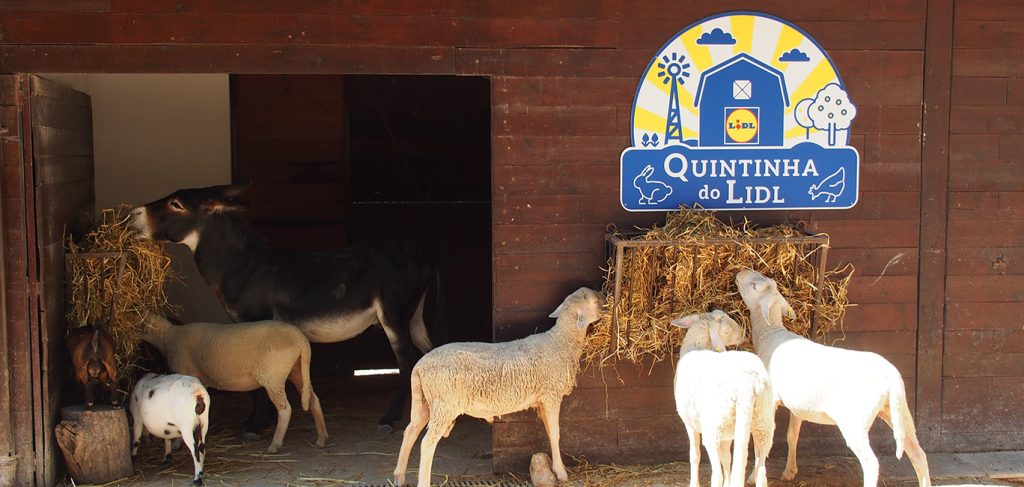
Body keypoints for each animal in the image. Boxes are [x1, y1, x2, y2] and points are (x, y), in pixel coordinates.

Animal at [140, 313, 328, 453]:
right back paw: (321, 438)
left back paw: (275, 445)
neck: (169, 337)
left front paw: (178, 443)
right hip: (296, 370)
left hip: (273, 376)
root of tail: (302, 341)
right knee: (313, 399)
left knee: (285, 409)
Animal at [393, 287, 605, 487]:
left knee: (410, 431)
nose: (605, 297)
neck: (560, 342)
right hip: (445, 404)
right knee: (427, 443)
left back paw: (399, 477)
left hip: (425, 402)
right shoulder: (552, 395)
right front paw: (561, 473)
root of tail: (420, 366)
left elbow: (548, 431)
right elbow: (556, 433)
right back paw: (422, 481)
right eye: (595, 301)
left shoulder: (542, 401)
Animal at [671, 310, 775, 487]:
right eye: (726, 329)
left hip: (714, 426)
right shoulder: (727, 434)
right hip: (763, 422)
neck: (697, 345)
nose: (743, 334)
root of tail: (746, 385)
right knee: (761, 474)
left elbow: (695, 455)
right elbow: (727, 458)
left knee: (716, 475)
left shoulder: (689, 423)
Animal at [735, 269, 931, 487]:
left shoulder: (770, 401)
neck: (769, 334)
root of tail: (892, 380)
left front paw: (753, 476)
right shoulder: (797, 405)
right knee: (918, 453)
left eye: (754, 286)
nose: (740, 272)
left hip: (856, 421)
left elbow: (759, 440)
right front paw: (789, 471)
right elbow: (792, 436)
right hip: (898, 410)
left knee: (872, 463)